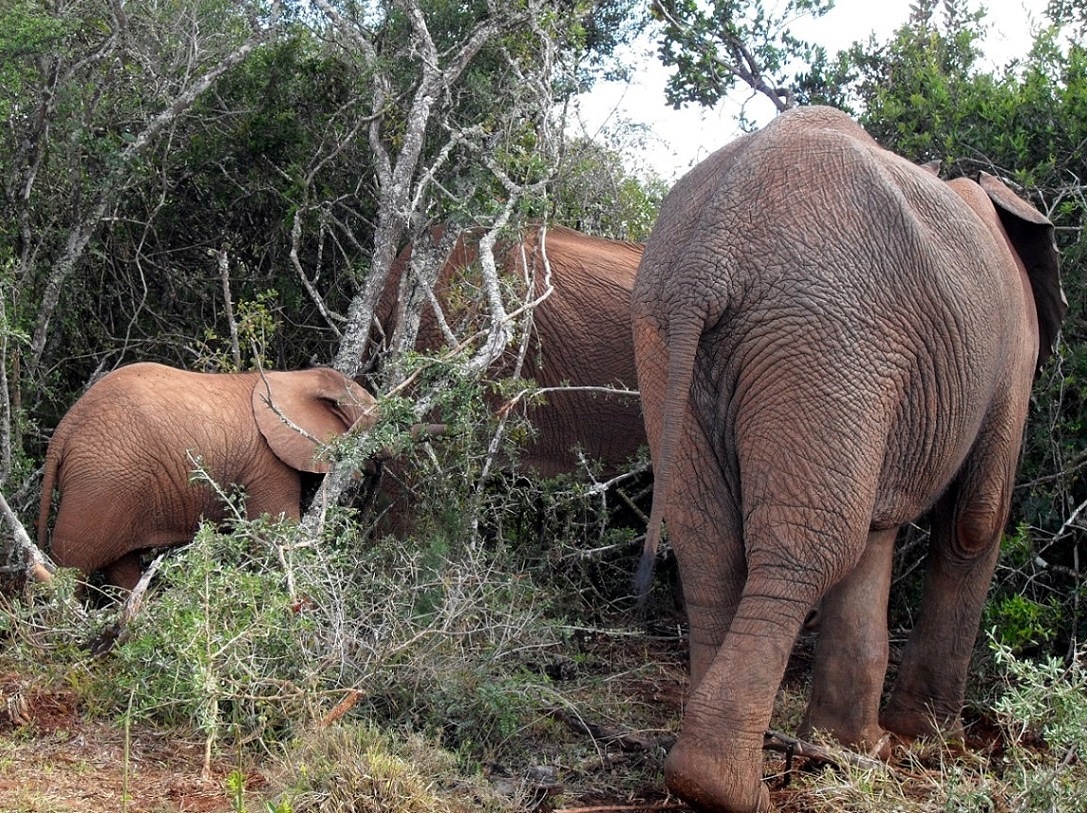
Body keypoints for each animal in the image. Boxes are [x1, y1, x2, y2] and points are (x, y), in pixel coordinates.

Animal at [37, 365, 378, 586]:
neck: (299, 376)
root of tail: (63, 430)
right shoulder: (268, 464)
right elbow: (275, 536)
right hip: (102, 483)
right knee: (70, 569)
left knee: (120, 569)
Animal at [634, 104, 1065, 808]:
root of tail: (710, 253)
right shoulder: (1014, 353)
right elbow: (975, 521)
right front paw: (925, 740)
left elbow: (879, 532)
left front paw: (854, 751)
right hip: (828, 333)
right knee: (809, 548)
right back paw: (729, 789)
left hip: (670, 331)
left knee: (711, 547)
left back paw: (706, 776)